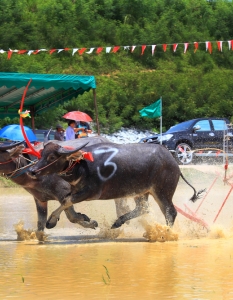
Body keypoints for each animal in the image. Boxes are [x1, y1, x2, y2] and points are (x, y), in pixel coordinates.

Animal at [29, 141, 204, 227]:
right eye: (41, 154)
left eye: (52, 157)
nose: (32, 171)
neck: (82, 165)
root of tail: (174, 162)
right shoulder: (76, 191)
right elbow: (66, 200)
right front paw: (82, 218)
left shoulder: (91, 193)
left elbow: (66, 201)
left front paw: (51, 221)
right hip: (141, 192)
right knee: (143, 208)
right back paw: (118, 222)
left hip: (163, 192)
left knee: (170, 212)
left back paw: (165, 233)